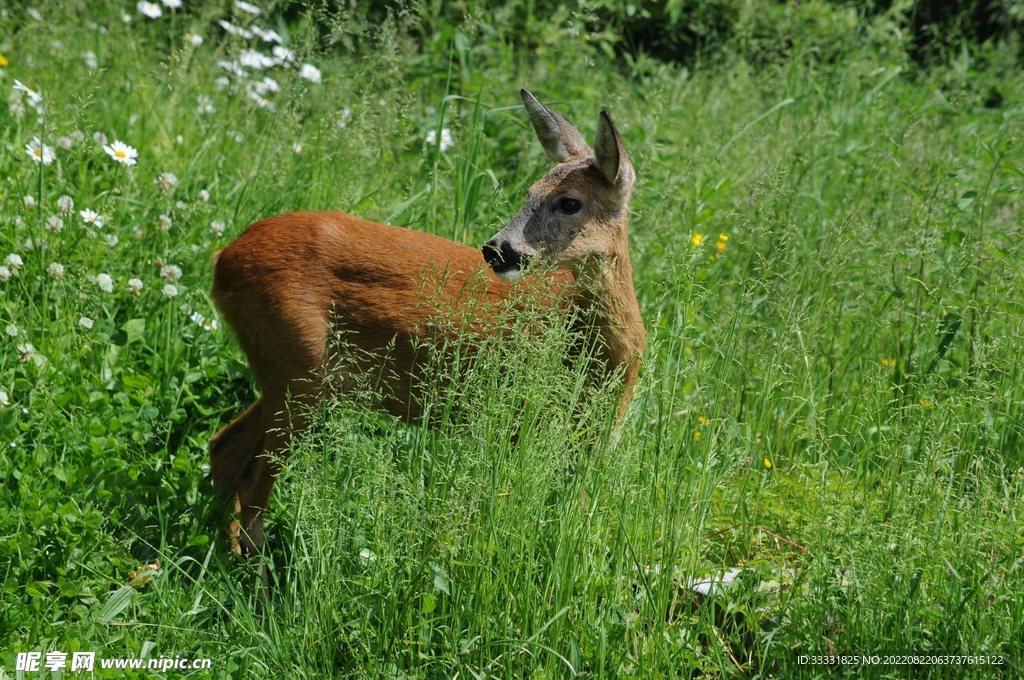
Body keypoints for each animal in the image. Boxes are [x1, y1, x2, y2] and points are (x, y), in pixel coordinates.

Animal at [208, 89, 645, 555]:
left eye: (569, 202)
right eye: (528, 191)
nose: (497, 249)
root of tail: (224, 262)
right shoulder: (519, 416)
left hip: (288, 372)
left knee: (224, 447)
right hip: (299, 365)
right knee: (254, 482)